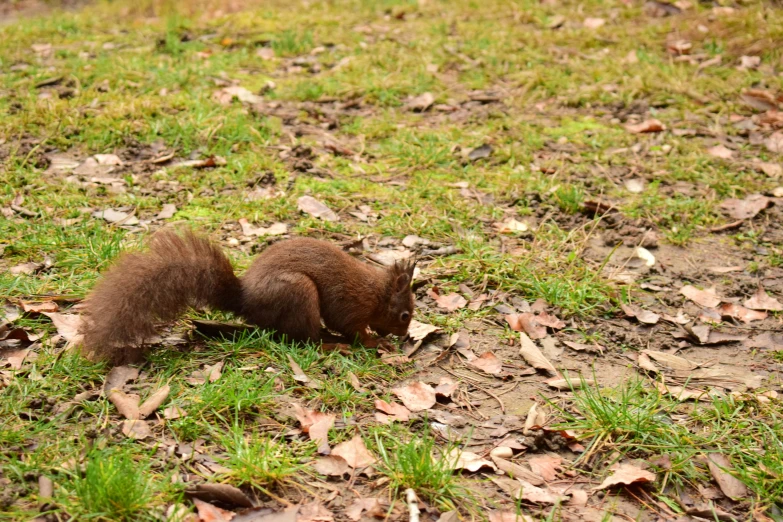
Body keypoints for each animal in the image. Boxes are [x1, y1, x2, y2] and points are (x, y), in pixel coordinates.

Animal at [81, 230, 416, 364]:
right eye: (405, 315)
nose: (405, 335)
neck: (378, 293)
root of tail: (247, 302)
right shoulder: (352, 305)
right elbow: (352, 329)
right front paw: (376, 341)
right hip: (299, 292)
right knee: (303, 339)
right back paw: (332, 345)